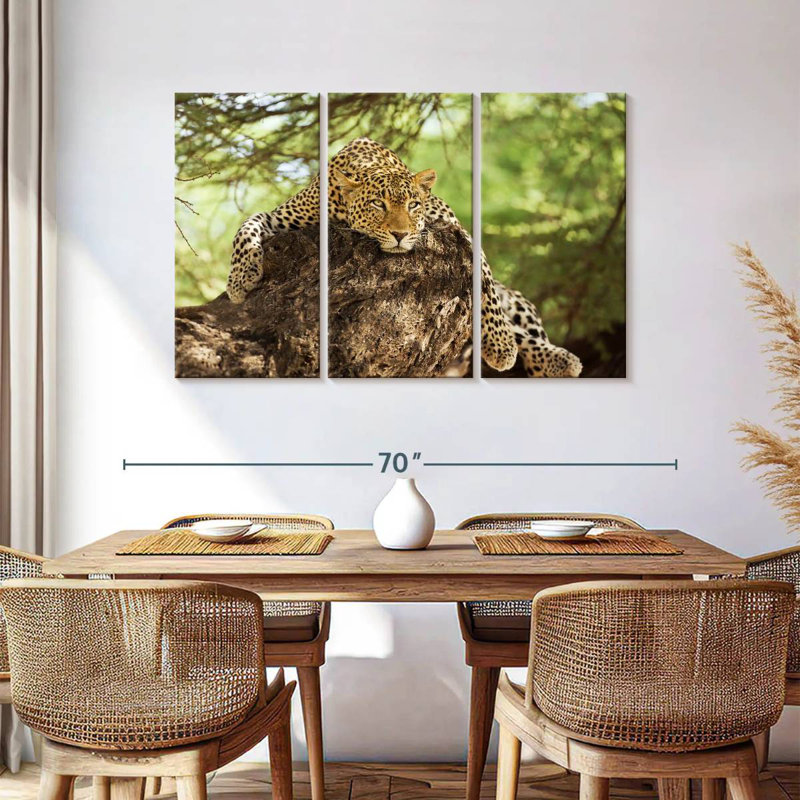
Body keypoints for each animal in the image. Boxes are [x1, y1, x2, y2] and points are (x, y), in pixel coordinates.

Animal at [227, 137, 582, 377]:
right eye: (377, 204)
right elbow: (246, 227)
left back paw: (556, 359)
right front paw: (240, 279)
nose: (399, 234)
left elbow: (486, 288)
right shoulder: (281, 218)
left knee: (524, 329)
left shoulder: (461, 234)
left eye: (413, 205)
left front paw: (500, 344)